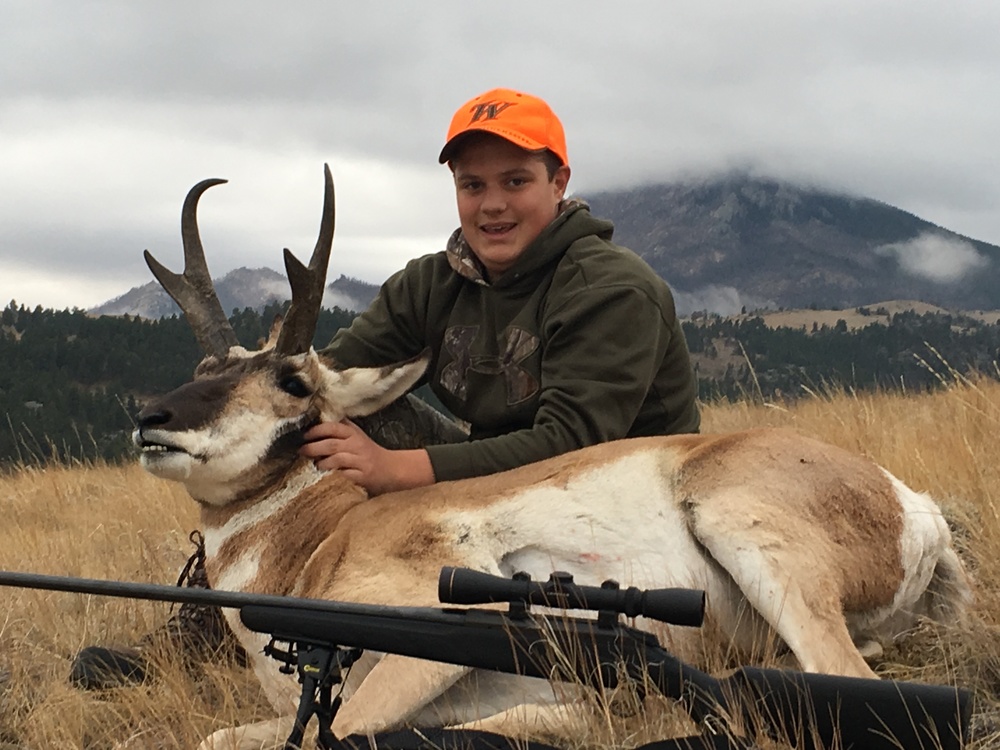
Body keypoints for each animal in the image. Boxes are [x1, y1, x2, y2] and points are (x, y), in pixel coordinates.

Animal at [136, 165, 971, 750]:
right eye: (205, 366)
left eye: (292, 379)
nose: (150, 417)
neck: (322, 537)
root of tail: (916, 506)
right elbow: (222, 733)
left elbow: (340, 732)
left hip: (750, 537)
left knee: (838, 674)